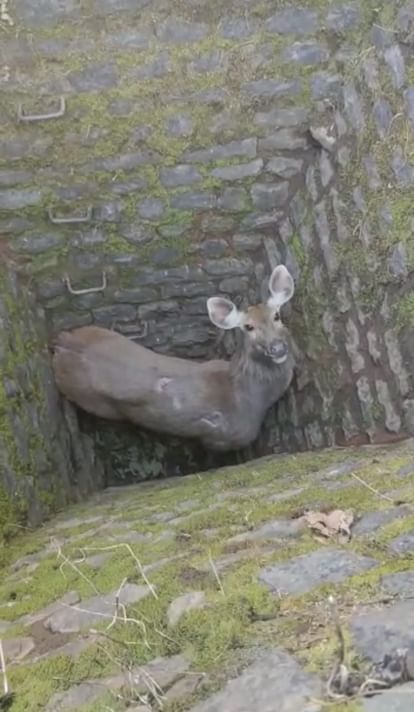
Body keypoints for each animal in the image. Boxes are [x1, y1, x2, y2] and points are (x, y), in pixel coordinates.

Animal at [51, 264, 296, 452]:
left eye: (276, 315)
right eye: (248, 327)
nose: (277, 347)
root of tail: (62, 343)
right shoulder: (221, 440)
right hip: (88, 400)